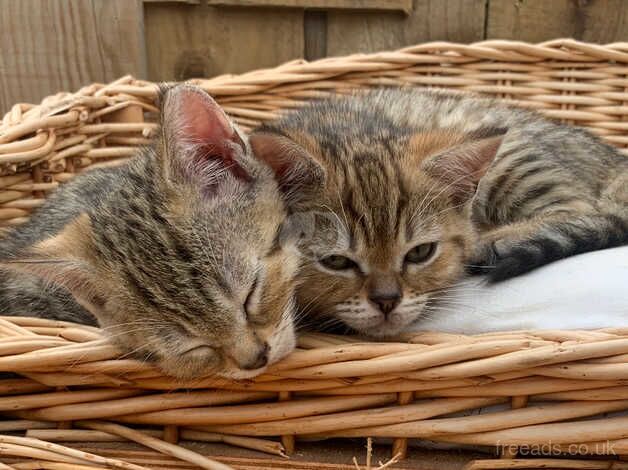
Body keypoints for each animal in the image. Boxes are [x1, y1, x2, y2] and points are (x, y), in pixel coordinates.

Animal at [251, 87, 628, 338]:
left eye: (420, 252)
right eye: (336, 261)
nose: (386, 301)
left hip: (512, 157)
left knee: (580, 206)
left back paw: (493, 240)